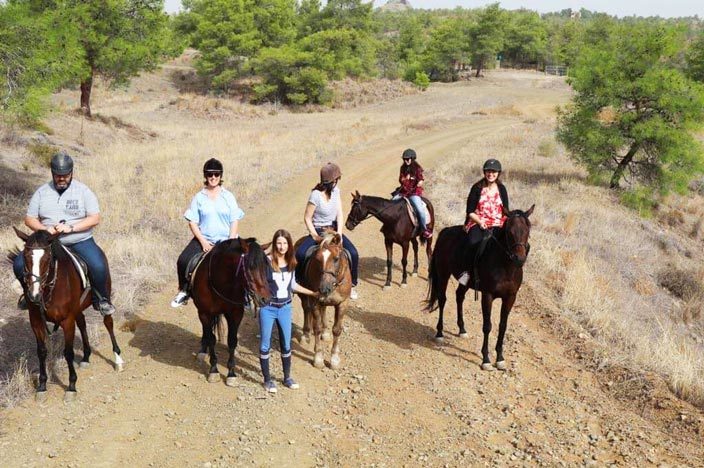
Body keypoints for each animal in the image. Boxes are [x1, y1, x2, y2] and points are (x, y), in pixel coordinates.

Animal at [10, 229, 122, 400]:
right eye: (26, 257)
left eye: (47, 258)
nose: (34, 295)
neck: (50, 290)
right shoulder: (36, 320)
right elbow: (41, 351)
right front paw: (42, 386)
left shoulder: (67, 320)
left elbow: (68, 352)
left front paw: (71, 386)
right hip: (77, 309)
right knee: (82, 323)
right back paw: (86, 357)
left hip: (104, 296)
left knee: (108, 323)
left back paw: (118, 359)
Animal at [191, 236, 270, 386]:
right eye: (251, 267)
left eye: (266, 267)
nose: (265, 299)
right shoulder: (205, 313)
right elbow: (211, 339)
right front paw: (214, 370)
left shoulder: (235, 314)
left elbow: (232, 341)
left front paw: (231, 374)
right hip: (202, 312)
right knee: (206, 331)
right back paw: (203, 351)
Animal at [294, 230, 352, 370]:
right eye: (318, 259)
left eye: (336, 259)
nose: (324, 288)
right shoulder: (315, 300)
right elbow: (317, 327)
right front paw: (318, 359)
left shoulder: (343, 303)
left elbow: (337, 329)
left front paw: (334, 359)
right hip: (304, 295)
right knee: (306, 310)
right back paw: (305, 335)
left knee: (324, 309)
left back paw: (325, 334)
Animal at [424, 207, 532, 372]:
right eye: (509, 231)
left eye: (528, 230)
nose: (519, 259)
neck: (506, 267)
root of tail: (445, 231)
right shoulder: (487, 295)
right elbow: (487, 326)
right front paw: (486, 360)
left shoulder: (510, 297)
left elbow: (503, 326)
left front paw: (500, 359)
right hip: (443, 274)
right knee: (442, 300)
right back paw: (440, 333)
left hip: (465, 282)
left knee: (459, 296)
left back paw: (462, 330)